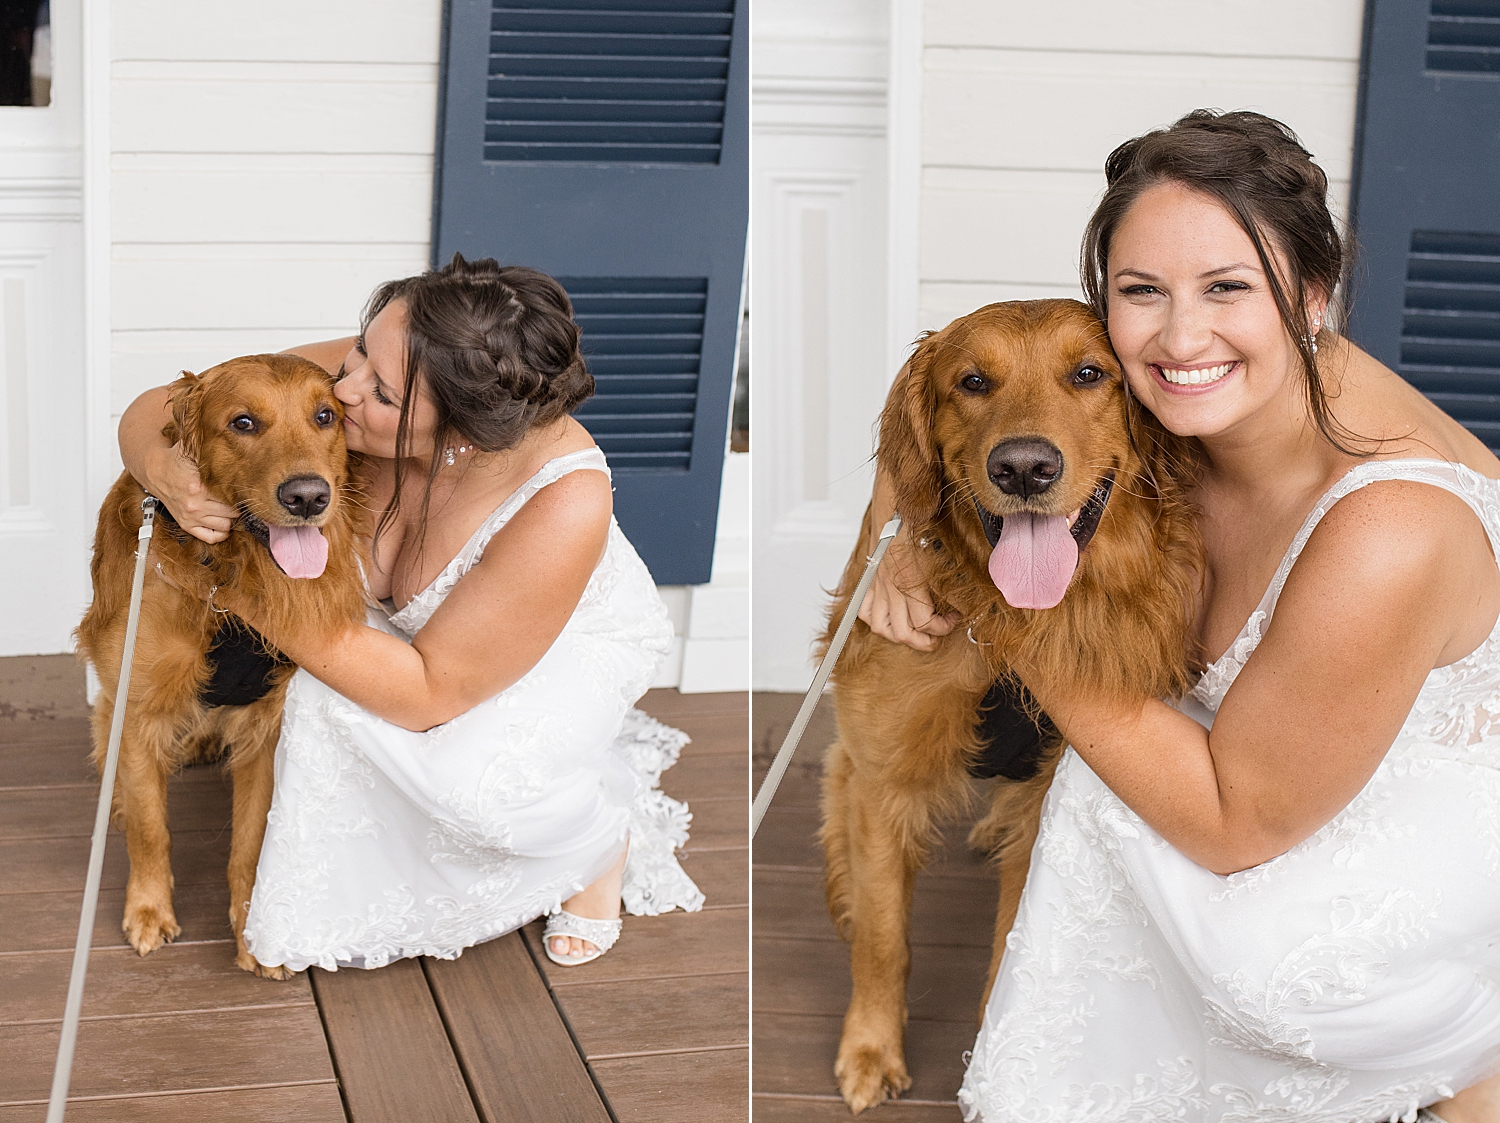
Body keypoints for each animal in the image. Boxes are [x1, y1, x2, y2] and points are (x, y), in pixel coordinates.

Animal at [78, 355, 366, 977]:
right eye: (243, 423)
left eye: (326, 416)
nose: (308, 497)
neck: (224, 576)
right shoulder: (139, 708)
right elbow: (150, 828)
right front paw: (148, 910)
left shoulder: (266, 722)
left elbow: (251, 841)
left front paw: (253, 935)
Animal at [816, 299, 1200, 1115]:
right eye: (971, 381)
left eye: (1088, 373)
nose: (1023, 467)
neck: (1004, 621)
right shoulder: (883, 776)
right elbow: (884, 939)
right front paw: (870, 1051)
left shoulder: (1054, 791)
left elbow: (1013, 939)